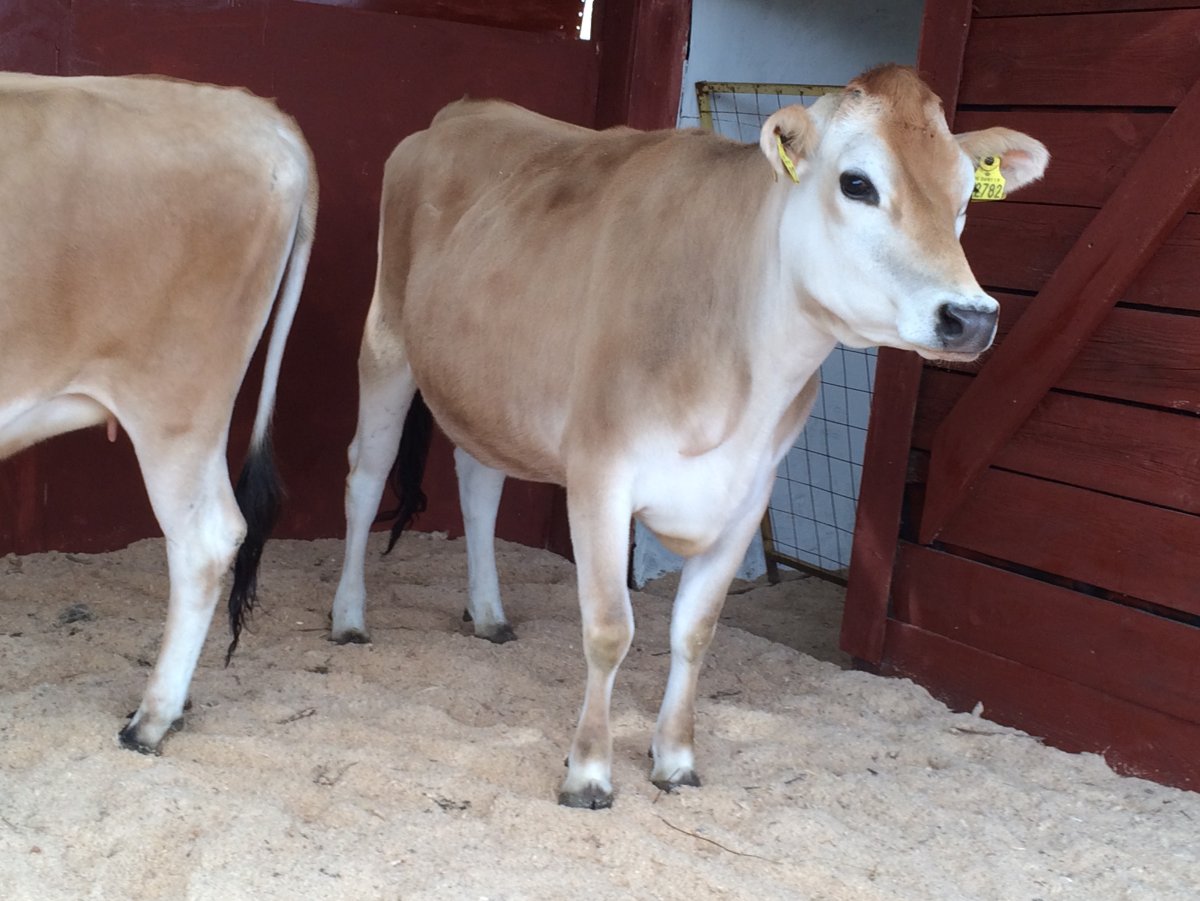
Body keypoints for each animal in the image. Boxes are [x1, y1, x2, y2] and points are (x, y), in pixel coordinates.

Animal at [330, 64, 1048, 808]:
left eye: (964, 195)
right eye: (857, 183)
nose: (971, 316)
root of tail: (463, 110)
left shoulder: (748, 494)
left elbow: (695, 632)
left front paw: (675, 756)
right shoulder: (599, 472)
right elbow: (609, 629)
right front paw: (588, 770)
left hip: (487, 382)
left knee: (478, 483)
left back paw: (489, 612)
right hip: (386, 339)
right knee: (366, 478)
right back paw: (350, 617)